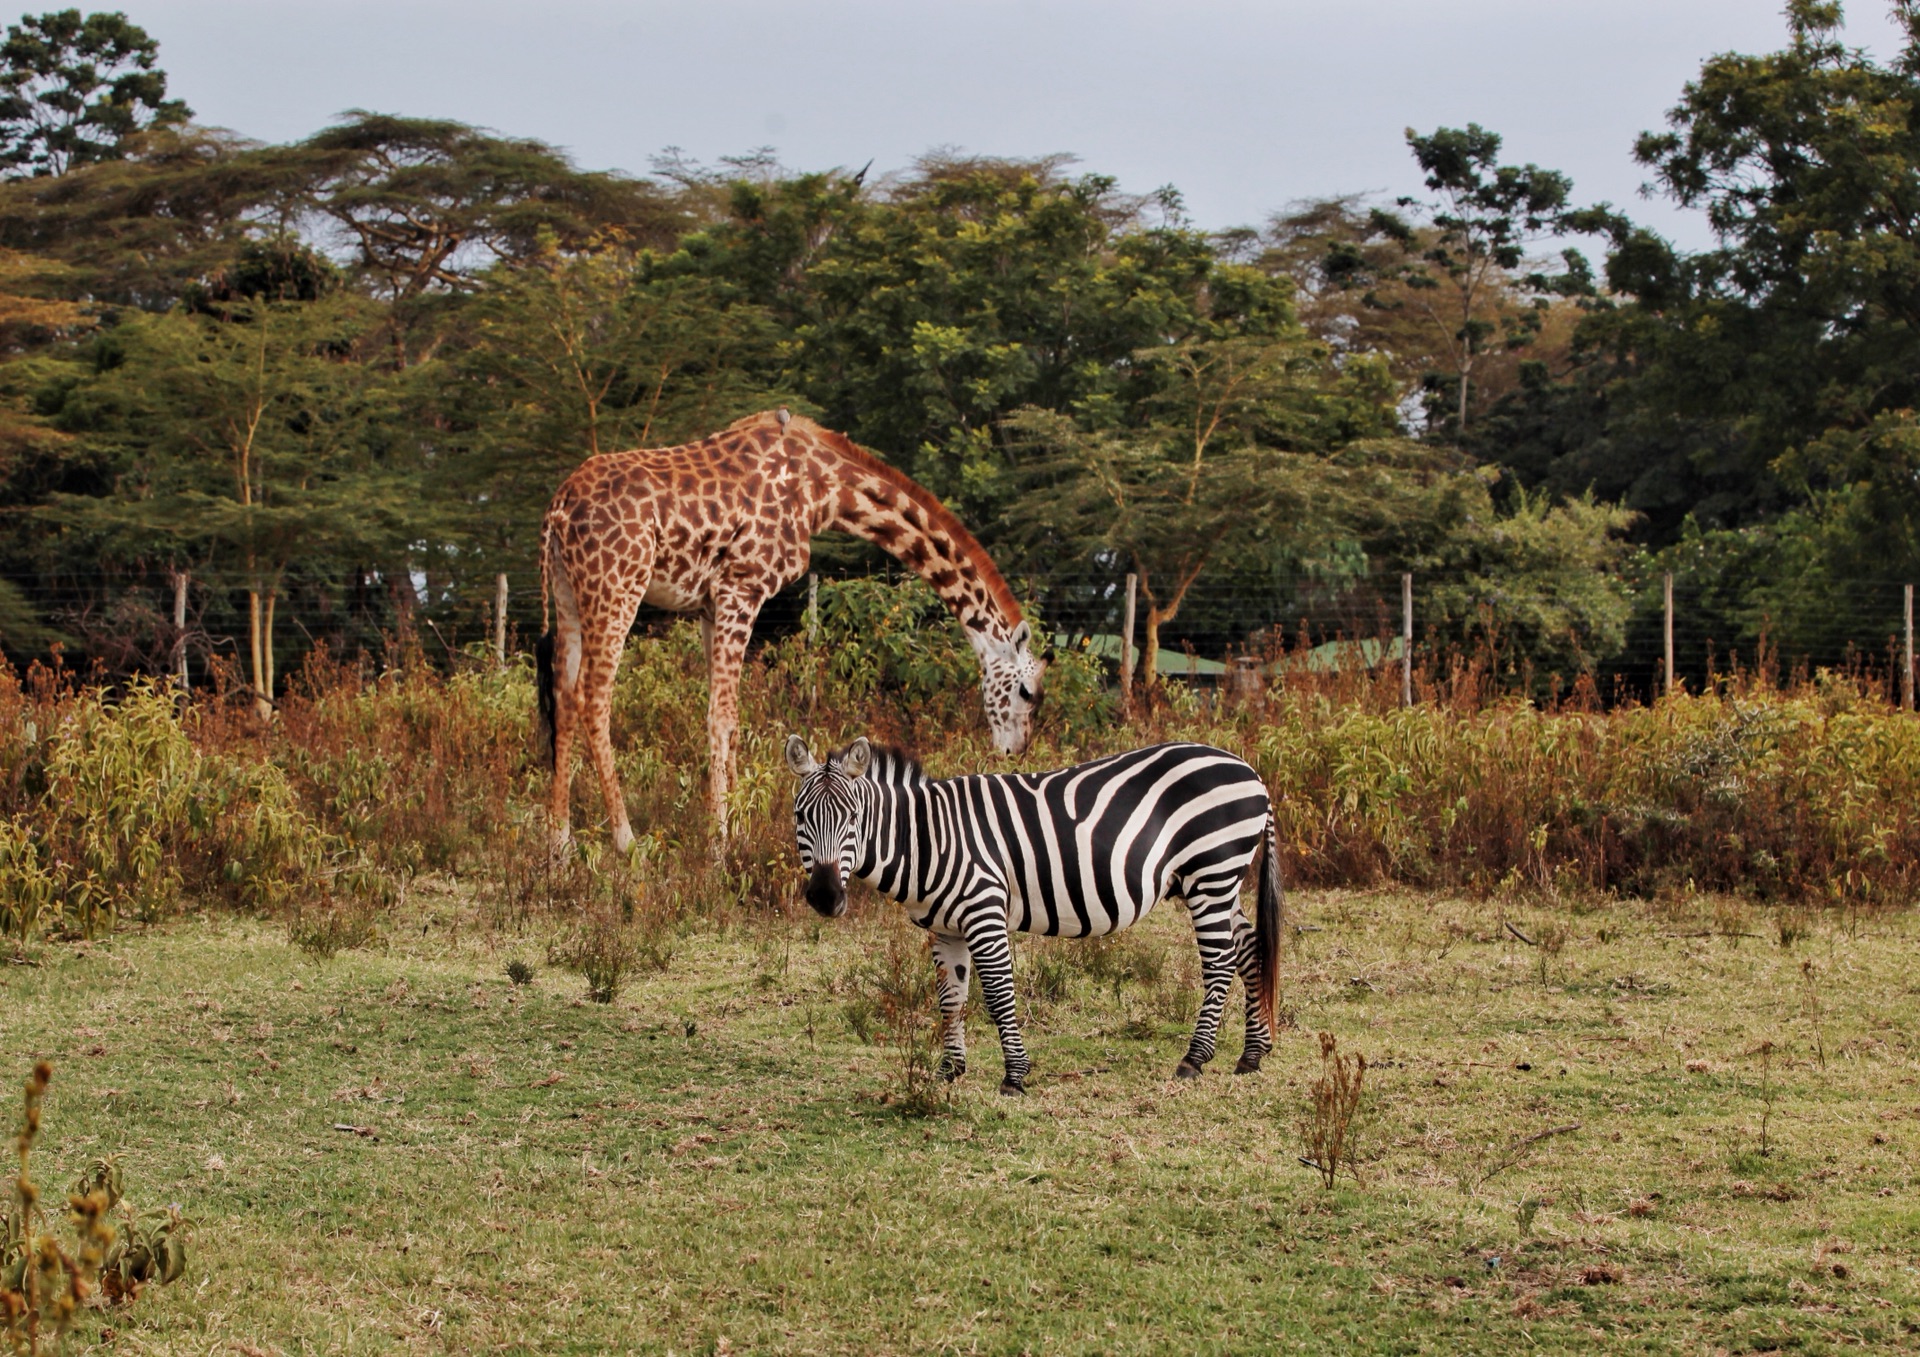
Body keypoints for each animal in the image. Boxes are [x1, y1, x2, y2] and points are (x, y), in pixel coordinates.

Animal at [533, 408, 1044, 859]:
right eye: (1027, 693)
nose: (1014, 751)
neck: (825, 492)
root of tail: (558, 509)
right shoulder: (741, 586)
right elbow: (721, 717)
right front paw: (719, 844)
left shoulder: (711, 604)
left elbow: (734, 718)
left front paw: (739, 829)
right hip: (617, 585)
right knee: (594, 697)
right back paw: (626, 840)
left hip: (568, 591)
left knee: (563, 695)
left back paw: (560, 843)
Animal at [779, 737, 1290, 1097]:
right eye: (801, 817)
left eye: (853, 818)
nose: (825, 897)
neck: (926, 838)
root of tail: (1250, 772)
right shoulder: (945, 929)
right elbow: (951, 1000)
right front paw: (948, 1071)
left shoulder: (984, 911)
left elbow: (998, 996)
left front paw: (1015, 1076)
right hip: (1216, 882)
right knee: (1250, 950)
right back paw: (1252, 1054)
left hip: (1212, 872)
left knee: (1220, 962)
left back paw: (1194, 1059)